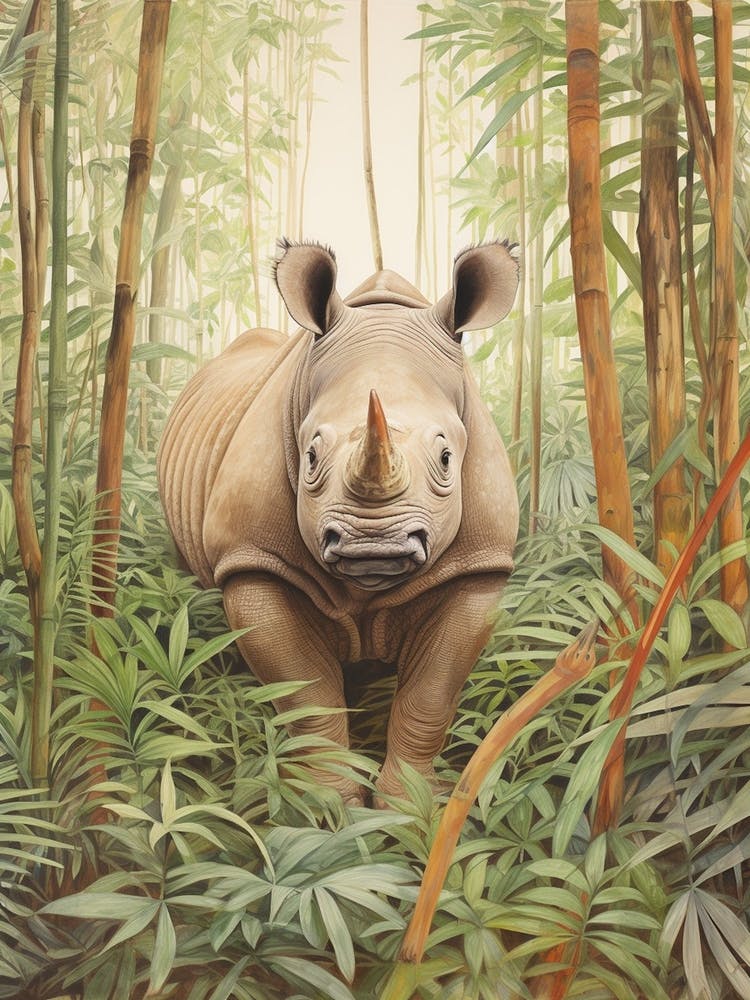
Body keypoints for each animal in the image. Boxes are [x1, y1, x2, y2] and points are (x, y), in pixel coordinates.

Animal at [158, 239, 519, 805]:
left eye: (446, 458)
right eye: (310, 456)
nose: (374, 546)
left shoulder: (478, 565)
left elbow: (431, 694)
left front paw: (410, 807)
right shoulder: (254, 560)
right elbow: (306, 695)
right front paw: (328, 809)